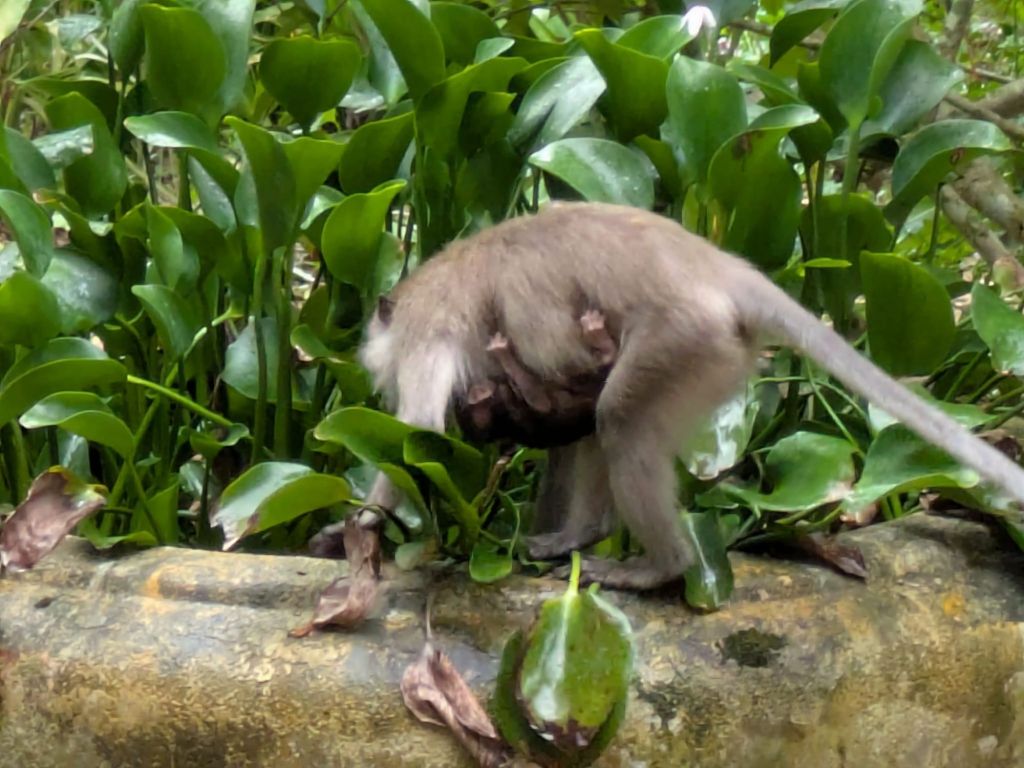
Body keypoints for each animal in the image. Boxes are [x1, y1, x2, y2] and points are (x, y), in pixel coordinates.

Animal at [315, 201, 1024, 590]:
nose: (371, 369)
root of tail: (721, 271)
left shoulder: (424, 332)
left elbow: (416, 433)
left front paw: (359, 527)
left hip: (686, 341)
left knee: (621, 421)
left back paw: (661, 565)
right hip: (716, 356)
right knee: (599, 421)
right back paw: (587, 535)